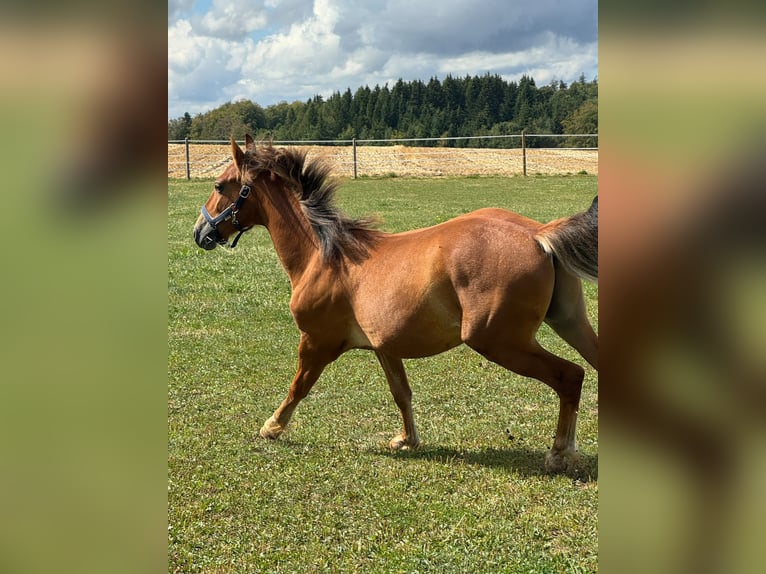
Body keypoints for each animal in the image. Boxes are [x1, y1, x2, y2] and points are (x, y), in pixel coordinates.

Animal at [193, 135, 598, 473]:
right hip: (569, 322)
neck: (324, 255)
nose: (200, 232)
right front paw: (407, 440)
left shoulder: (316, 342)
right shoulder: (384, 347)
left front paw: (272, 427)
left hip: (499, 341)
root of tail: (538, 234)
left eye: (219, 186)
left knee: (570, 376)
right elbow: (401, 393)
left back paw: (560, 453)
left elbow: (299, 386)